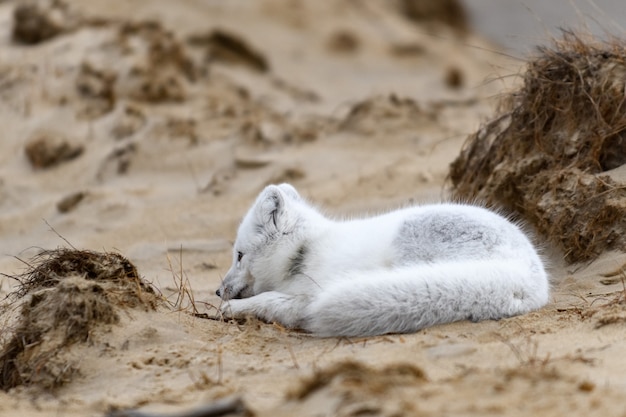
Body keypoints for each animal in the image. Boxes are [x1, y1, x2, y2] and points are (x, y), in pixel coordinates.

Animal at [216, 184, 544, 336]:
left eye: (239, 256)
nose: (217, 291)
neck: (304, 251)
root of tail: (531, 276)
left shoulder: (308, 295)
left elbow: (271, 300)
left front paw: (232, 309)